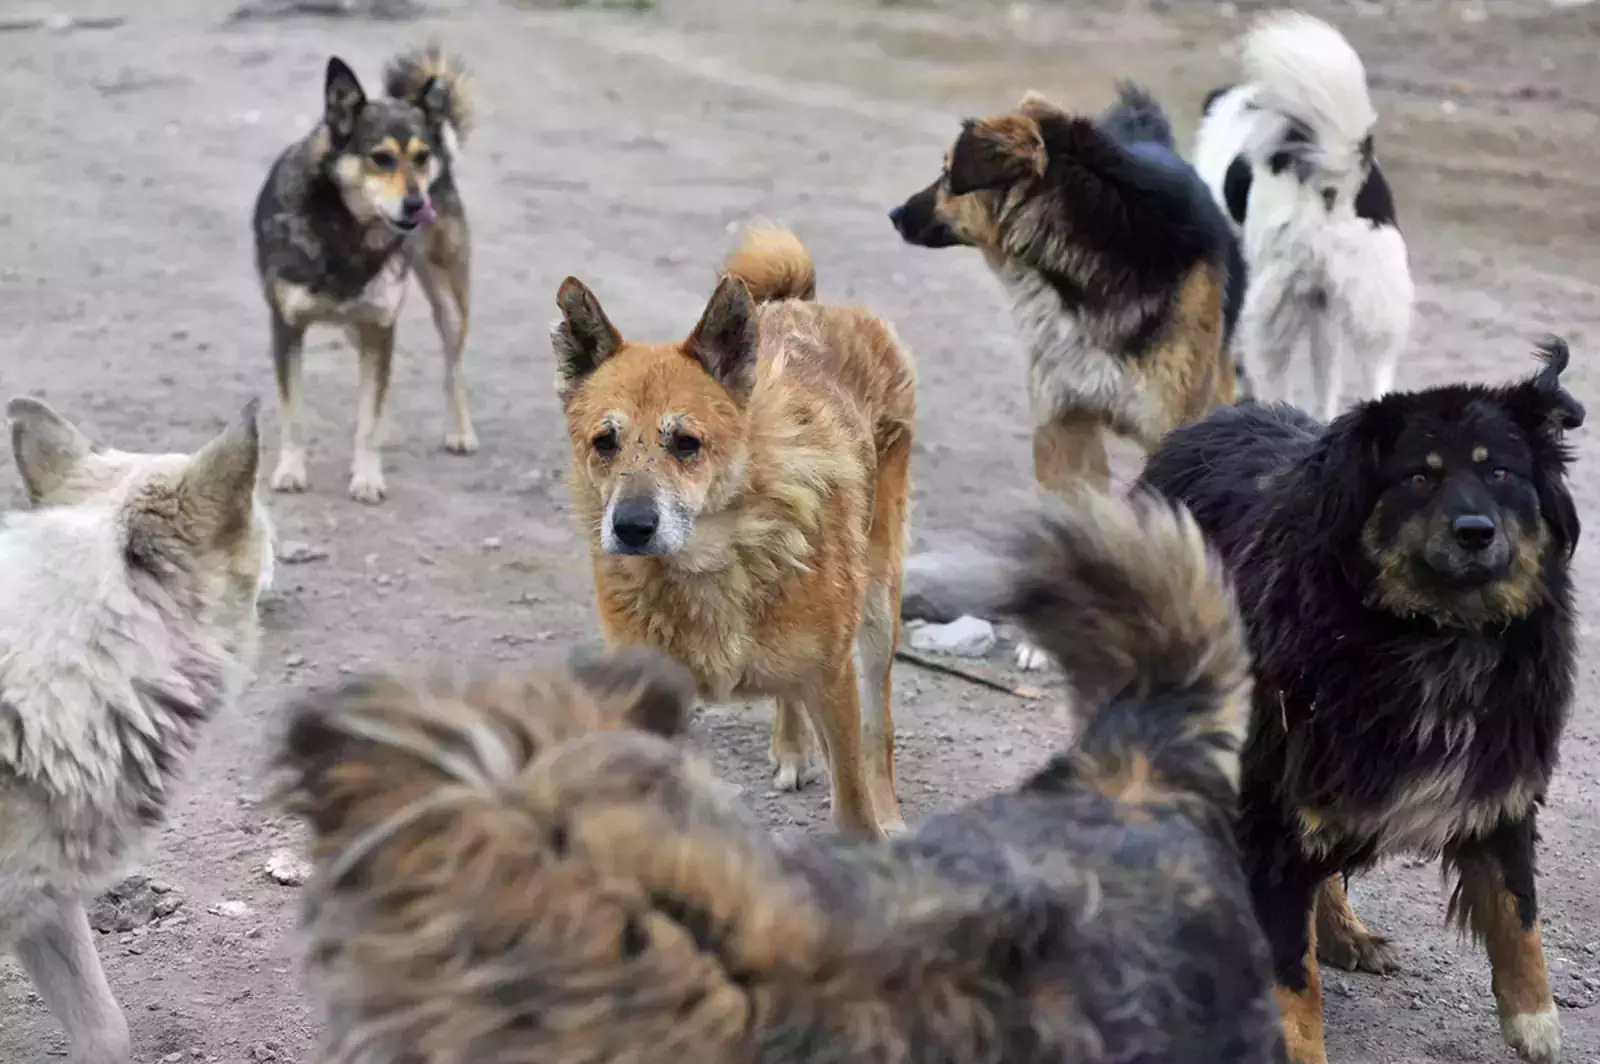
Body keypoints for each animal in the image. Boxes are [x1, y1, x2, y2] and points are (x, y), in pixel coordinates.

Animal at [252, 45, 476, 504]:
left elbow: (369, 416)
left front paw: (368, 477)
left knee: (453, 365)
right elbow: (293, 411)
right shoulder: (286, 327)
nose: (418, 204)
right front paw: (290, 470)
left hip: (448, 302)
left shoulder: (380, 326)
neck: (346, 228)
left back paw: (460, 430)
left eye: (420, 158)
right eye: (381, 158)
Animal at [548, 227, 914, 838]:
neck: (718, 560)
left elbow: (853, 802)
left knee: (878, 725)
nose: (631, 528)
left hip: (878, 608)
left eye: (686, 443)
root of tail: (807, 305)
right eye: (604, 442)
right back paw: (790, 746)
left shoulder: (833, 681)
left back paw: (889, 812)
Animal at [1138, 338, 1584, 1064]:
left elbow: (1518, 910)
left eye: (1501, 472)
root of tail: (1211, 420)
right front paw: (1297, 1045)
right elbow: (1290, 965)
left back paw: (1345, 932)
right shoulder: (1276, 798)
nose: (1475, 531)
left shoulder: (1498, 781)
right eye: (1419, 478)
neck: (1434, 634)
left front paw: (1535, 1024)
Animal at [1193, 11, 1413, 422]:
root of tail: (1332, 179)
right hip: (1376, 308)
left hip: (1271, 310)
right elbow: (1326, 379)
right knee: (1373, 382)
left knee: (1271, 379)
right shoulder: (1323, 306)